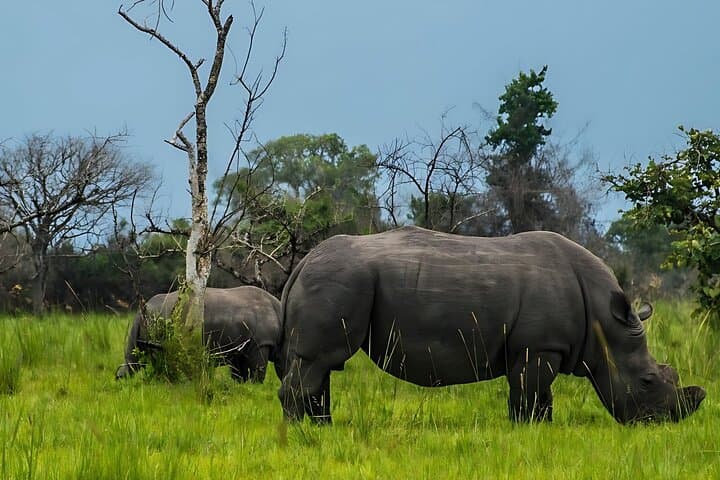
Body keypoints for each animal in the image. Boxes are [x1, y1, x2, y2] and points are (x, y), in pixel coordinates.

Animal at [116, 286, 281, 382]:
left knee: (134, 359)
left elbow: (239, 375)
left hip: (148, 319)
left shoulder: (239, 347)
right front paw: (255, 386)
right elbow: (257, 373)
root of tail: (145, 307)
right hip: (161, 318)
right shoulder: (261, 343)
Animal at [276, 226, 705, 424]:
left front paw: (539, 430)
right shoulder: (540, 346)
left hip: (338, 283)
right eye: (647, 381)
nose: (669, 421)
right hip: (341, 281)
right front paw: (527, 429)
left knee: (321, 365)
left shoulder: (537, 347)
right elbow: (529, 393)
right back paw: (303, 434)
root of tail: (302, 263)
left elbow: (538, 396)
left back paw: (322, 428)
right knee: (318, 361)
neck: (604, 322)